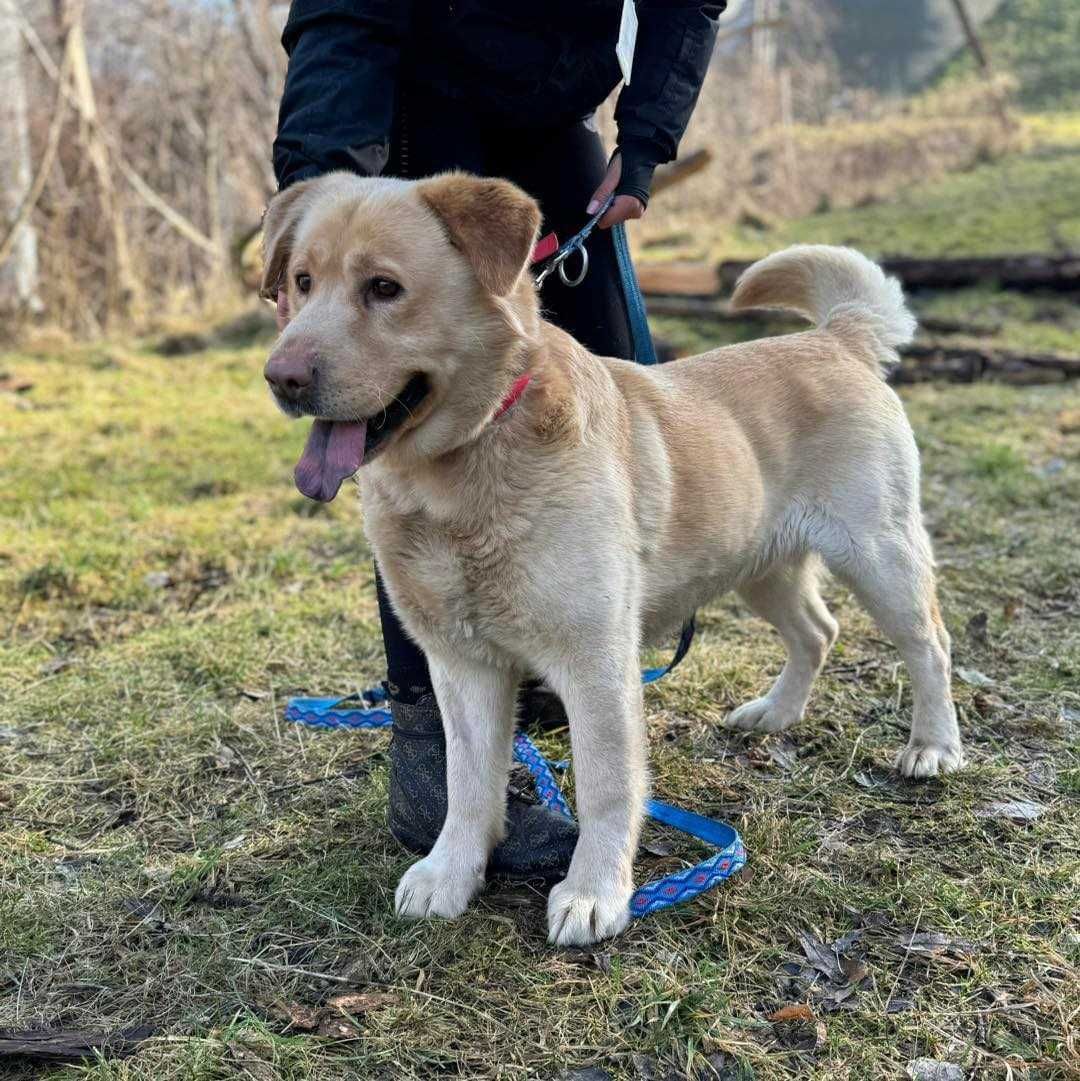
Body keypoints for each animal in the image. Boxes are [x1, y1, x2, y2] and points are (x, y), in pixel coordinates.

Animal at [263, 170, 964, 946]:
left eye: (384, 287)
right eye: (301, 281)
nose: (281, 377)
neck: (463, 474)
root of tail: (837, 338)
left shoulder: (595, 662)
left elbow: (606, 785)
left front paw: (596, 890)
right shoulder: (461, 665)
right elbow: (467, 783)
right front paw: (451, 871)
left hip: (879, 558)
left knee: (930, 644)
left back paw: (933, 746)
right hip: (760, 567)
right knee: (818, 630)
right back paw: (776, 714)